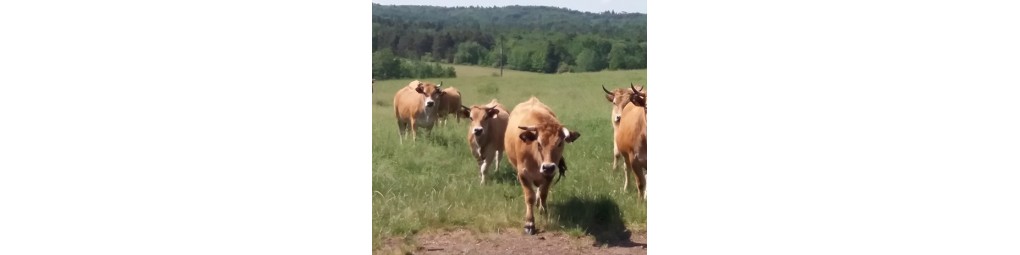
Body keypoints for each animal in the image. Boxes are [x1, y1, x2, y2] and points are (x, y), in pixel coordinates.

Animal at [503, 95, 583, 234]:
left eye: (560, 143)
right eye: (539, 143)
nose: (548, 166)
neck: (536, 159)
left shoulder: (550, 174)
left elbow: (543, 193)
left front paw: (544, 212)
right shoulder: (523, 174)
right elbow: (529, 196)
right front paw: (529, 223)